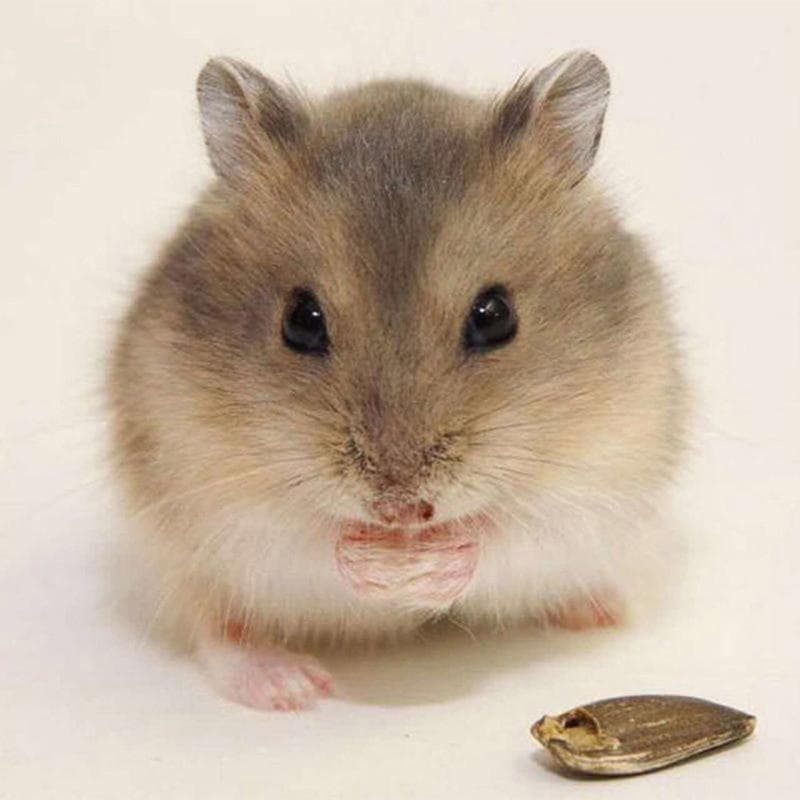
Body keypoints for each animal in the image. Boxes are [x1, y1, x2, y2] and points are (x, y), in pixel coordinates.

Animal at [108, 50, 687, 711]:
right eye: (300, 321)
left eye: (495, 316)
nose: (401, 512)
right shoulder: (214, 496)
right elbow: (311, 538)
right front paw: (385, 568)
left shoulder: (597, 477)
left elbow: (506, 533)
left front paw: (423, 567)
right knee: (218, 627)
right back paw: (290, 688)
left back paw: (602, 610)